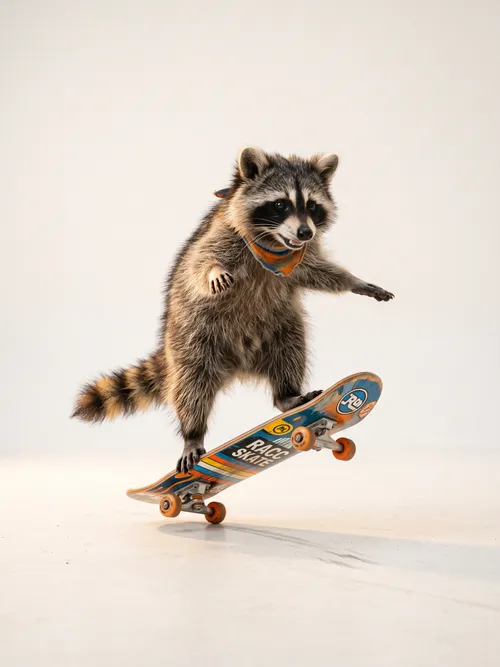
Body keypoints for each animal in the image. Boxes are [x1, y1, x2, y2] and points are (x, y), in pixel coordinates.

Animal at [72, 147, 394, 473]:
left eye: (312, 206)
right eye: (281, 204)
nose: (305, 232)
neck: (273, 243)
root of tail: (240, 365)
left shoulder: (302, 257)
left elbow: (317, 272)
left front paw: (354, 281)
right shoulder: (223, 233)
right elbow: (201, 261)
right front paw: (214, 270)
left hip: (280, 325)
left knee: (290, 350)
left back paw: (287, 396)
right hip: (192, 336)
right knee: (191, 383)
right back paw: (193, 432)